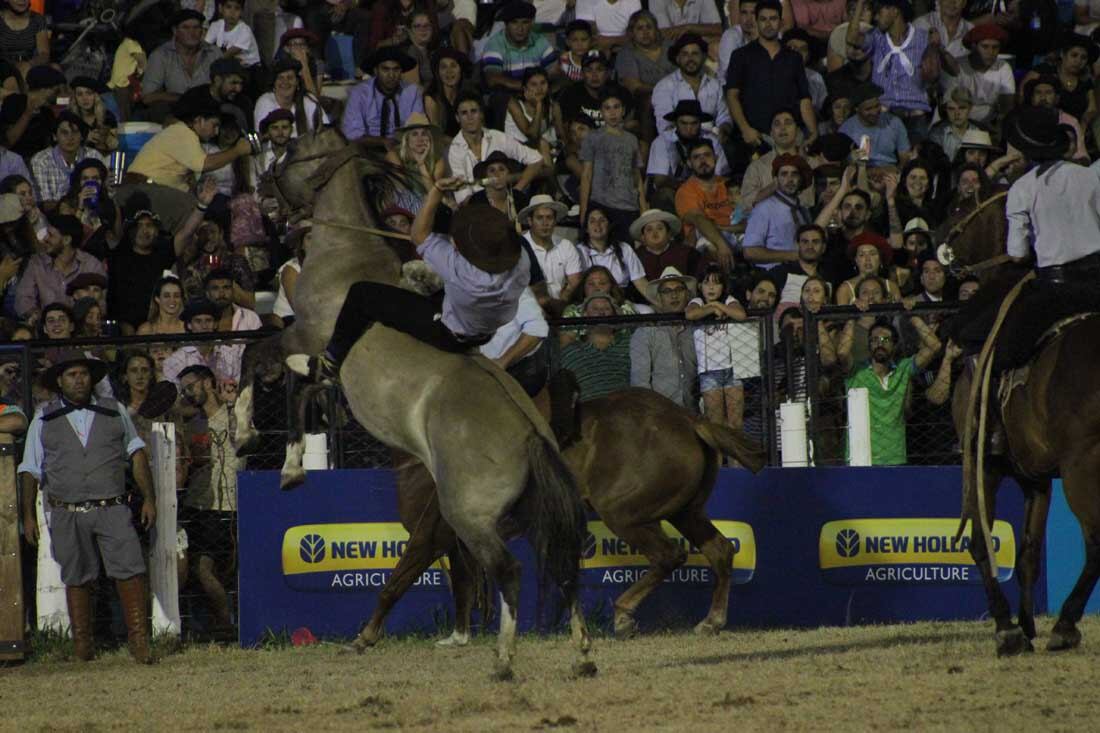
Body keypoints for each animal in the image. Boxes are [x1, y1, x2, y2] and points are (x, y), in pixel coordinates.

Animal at [352, 383, 765, 647]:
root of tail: (688, 419)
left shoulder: (431, 533)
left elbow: (398, 580)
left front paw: (365, 636)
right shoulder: (456, 539)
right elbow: (462, 586)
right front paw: (458, 636)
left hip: (624, 513)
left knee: (668, 555)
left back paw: (623, 614)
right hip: (685, 511)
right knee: (719, 551)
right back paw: (710, 621)